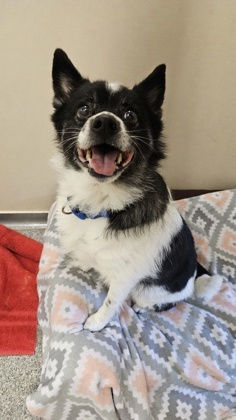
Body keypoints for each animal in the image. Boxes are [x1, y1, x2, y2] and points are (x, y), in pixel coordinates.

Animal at [51, 49, 201, 332]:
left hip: (150, 290)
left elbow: (111, 302)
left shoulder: (125, 278)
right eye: (84, 109)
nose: (105, 123)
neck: (102, 201)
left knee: (161, 302)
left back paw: (142, 307)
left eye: (130, 115)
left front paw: (97, 322)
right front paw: (84, 264)